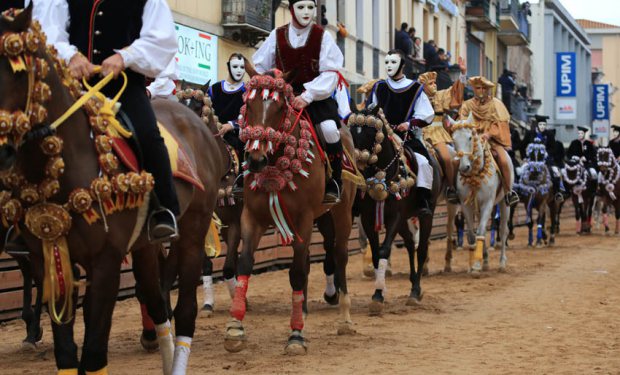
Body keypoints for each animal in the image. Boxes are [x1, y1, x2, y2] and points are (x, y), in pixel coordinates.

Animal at [0, 11, 225, 374]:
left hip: (193, 232)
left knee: (184, 310)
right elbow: (66, 351)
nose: (2, 151)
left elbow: (93, 353)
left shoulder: (105, 262)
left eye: (18, 73)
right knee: (157, 301)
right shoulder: (47, 258)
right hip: (145, 246)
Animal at [225, 70, 356, 356]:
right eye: (248, 105)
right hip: (321, 218)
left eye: (280, 108)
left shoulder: (303, 218)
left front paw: (296, 336)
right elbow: (245, 264)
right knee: (307, 260)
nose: (256, 160)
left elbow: (295, 273)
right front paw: (235, 327)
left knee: (340, 256)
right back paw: (304, 310)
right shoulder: (251, 216)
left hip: (341, 214)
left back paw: (345, 318)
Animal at [348, 107, 440, 316]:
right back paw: (413, 283)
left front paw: (378, 295)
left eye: (370, 133)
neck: (383, 175)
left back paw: (415, 291)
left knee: (421, 249)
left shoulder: (395, 216)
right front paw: (378, 293)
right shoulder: (368, 218)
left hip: (426, 215)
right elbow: (376, 254)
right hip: (404, 220)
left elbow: (384, 250)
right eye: (352, 132)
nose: (357, 161)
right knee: (409, 244)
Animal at [448, 114, 512, 274]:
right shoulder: (466, 205)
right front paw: (474, 264)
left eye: (470, 137)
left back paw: (502, 263)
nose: (464, 167)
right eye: (453, 139)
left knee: (503, 230)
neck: (475, 173)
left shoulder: (487, 203)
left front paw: (477, 264)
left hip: (504, 202)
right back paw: (486, 260)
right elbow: (472, 234)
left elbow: (482, 230)